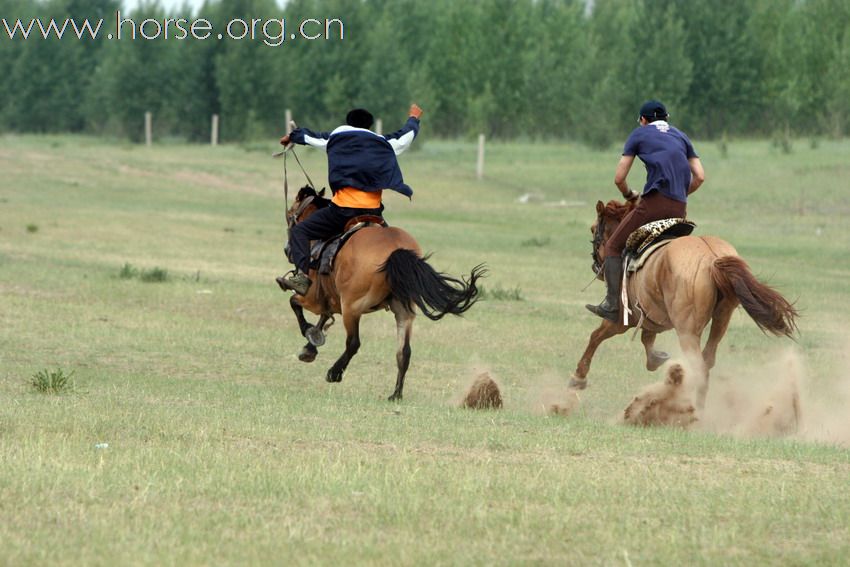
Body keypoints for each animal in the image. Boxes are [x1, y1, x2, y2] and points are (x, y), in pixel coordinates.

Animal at [284, 186, 484, 400]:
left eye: (290, 214)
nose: (287, 249)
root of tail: (395, 250)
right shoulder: (331, 300)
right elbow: (322, 319)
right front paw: (310, 346)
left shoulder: (314, 298)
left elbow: (295, 303)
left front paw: (308, 334)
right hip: (404, 311)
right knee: (404, 351)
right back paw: (396, 394)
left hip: (352, 308)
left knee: (353, 343)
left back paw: (334, 373)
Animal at [568, 200, 796, 408]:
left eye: (594, 228)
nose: (595, 264)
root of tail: (712, 260)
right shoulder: (652, 314)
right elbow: (647, 338)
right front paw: (655, 358)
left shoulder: (624, 318)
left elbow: (596, 336)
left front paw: (578, 378)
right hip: (721, 319)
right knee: (707, 360)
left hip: (687, 332)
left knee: (699, 367)